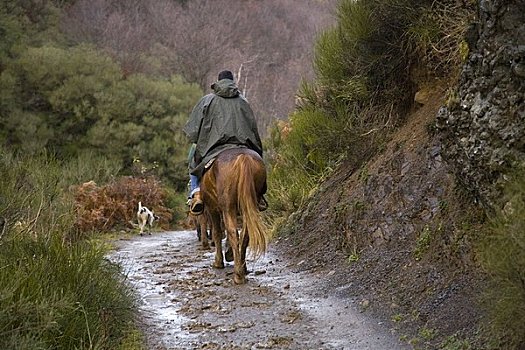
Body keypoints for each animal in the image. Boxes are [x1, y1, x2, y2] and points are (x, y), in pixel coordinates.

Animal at [200, 147, 266, 284]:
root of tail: (243, 157)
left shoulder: (212, 209)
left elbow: (217, 233)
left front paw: (218, 262)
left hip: (227, 207)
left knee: (232, 232)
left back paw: (238, 275)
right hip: (248, 206)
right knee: (245, 234)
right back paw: (242, 268)